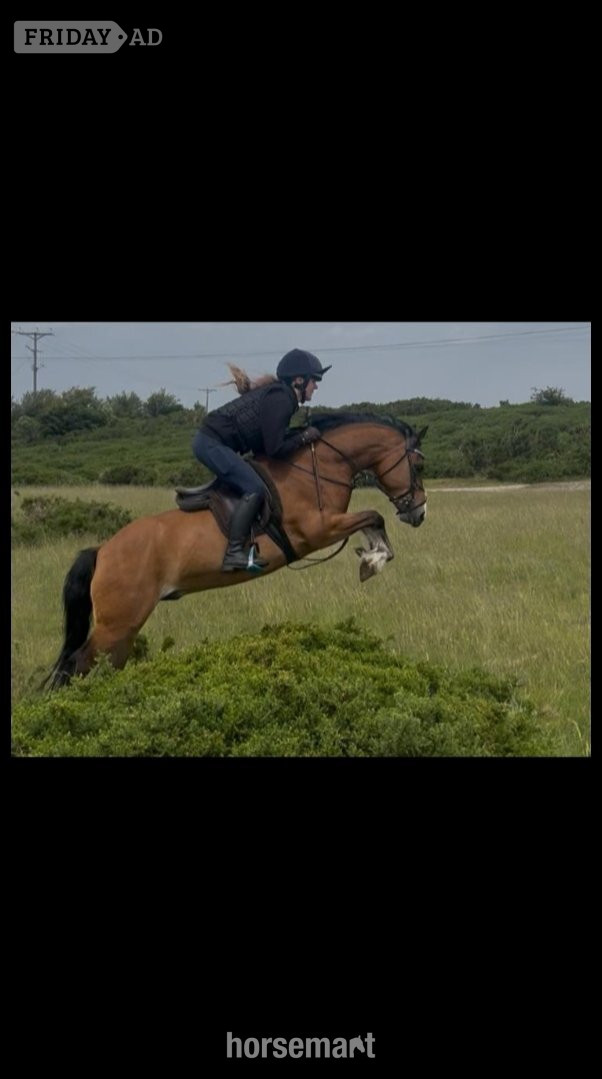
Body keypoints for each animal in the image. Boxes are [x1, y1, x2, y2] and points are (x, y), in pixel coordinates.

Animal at [44, 413, 427, 689]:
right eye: (419, 465)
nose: (418, 513)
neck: (319, 467)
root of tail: (102, 551)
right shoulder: (319, 529)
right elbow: (373, 515)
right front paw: (373, 560)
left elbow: (373, 522)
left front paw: (371, 559)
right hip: (117, 623)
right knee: (76, 664)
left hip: (124, 628)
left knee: (102, 665)